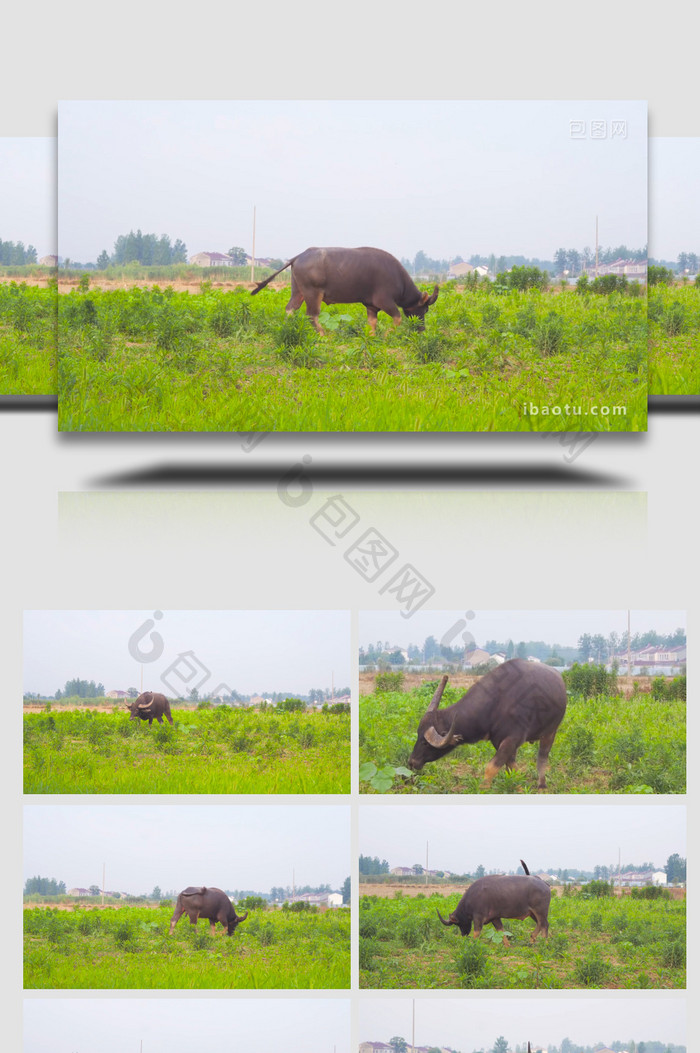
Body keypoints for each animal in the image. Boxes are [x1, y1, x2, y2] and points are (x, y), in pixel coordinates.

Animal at [249, 246, 437, 332]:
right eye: (425, 309)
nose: (422, 329)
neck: (399, 280)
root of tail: (299, 256)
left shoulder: (371, 306)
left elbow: (372, 324)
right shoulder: (385, 301)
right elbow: (397, 318)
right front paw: (387, 335)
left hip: (298, 291)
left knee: (290, 309)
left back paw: (288, 329)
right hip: (313, 293)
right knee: (312, 315)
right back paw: (323, 335)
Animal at [406, 657, 564, 791]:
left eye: (425, 743)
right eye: (417, 736)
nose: (411, 761)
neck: (497, 702)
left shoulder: (512, 739)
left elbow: (491, 768)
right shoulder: (500, 741)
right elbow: (512, 768)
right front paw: (518, 788)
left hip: (550, 732)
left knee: (542, 758)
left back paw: (542, 786)